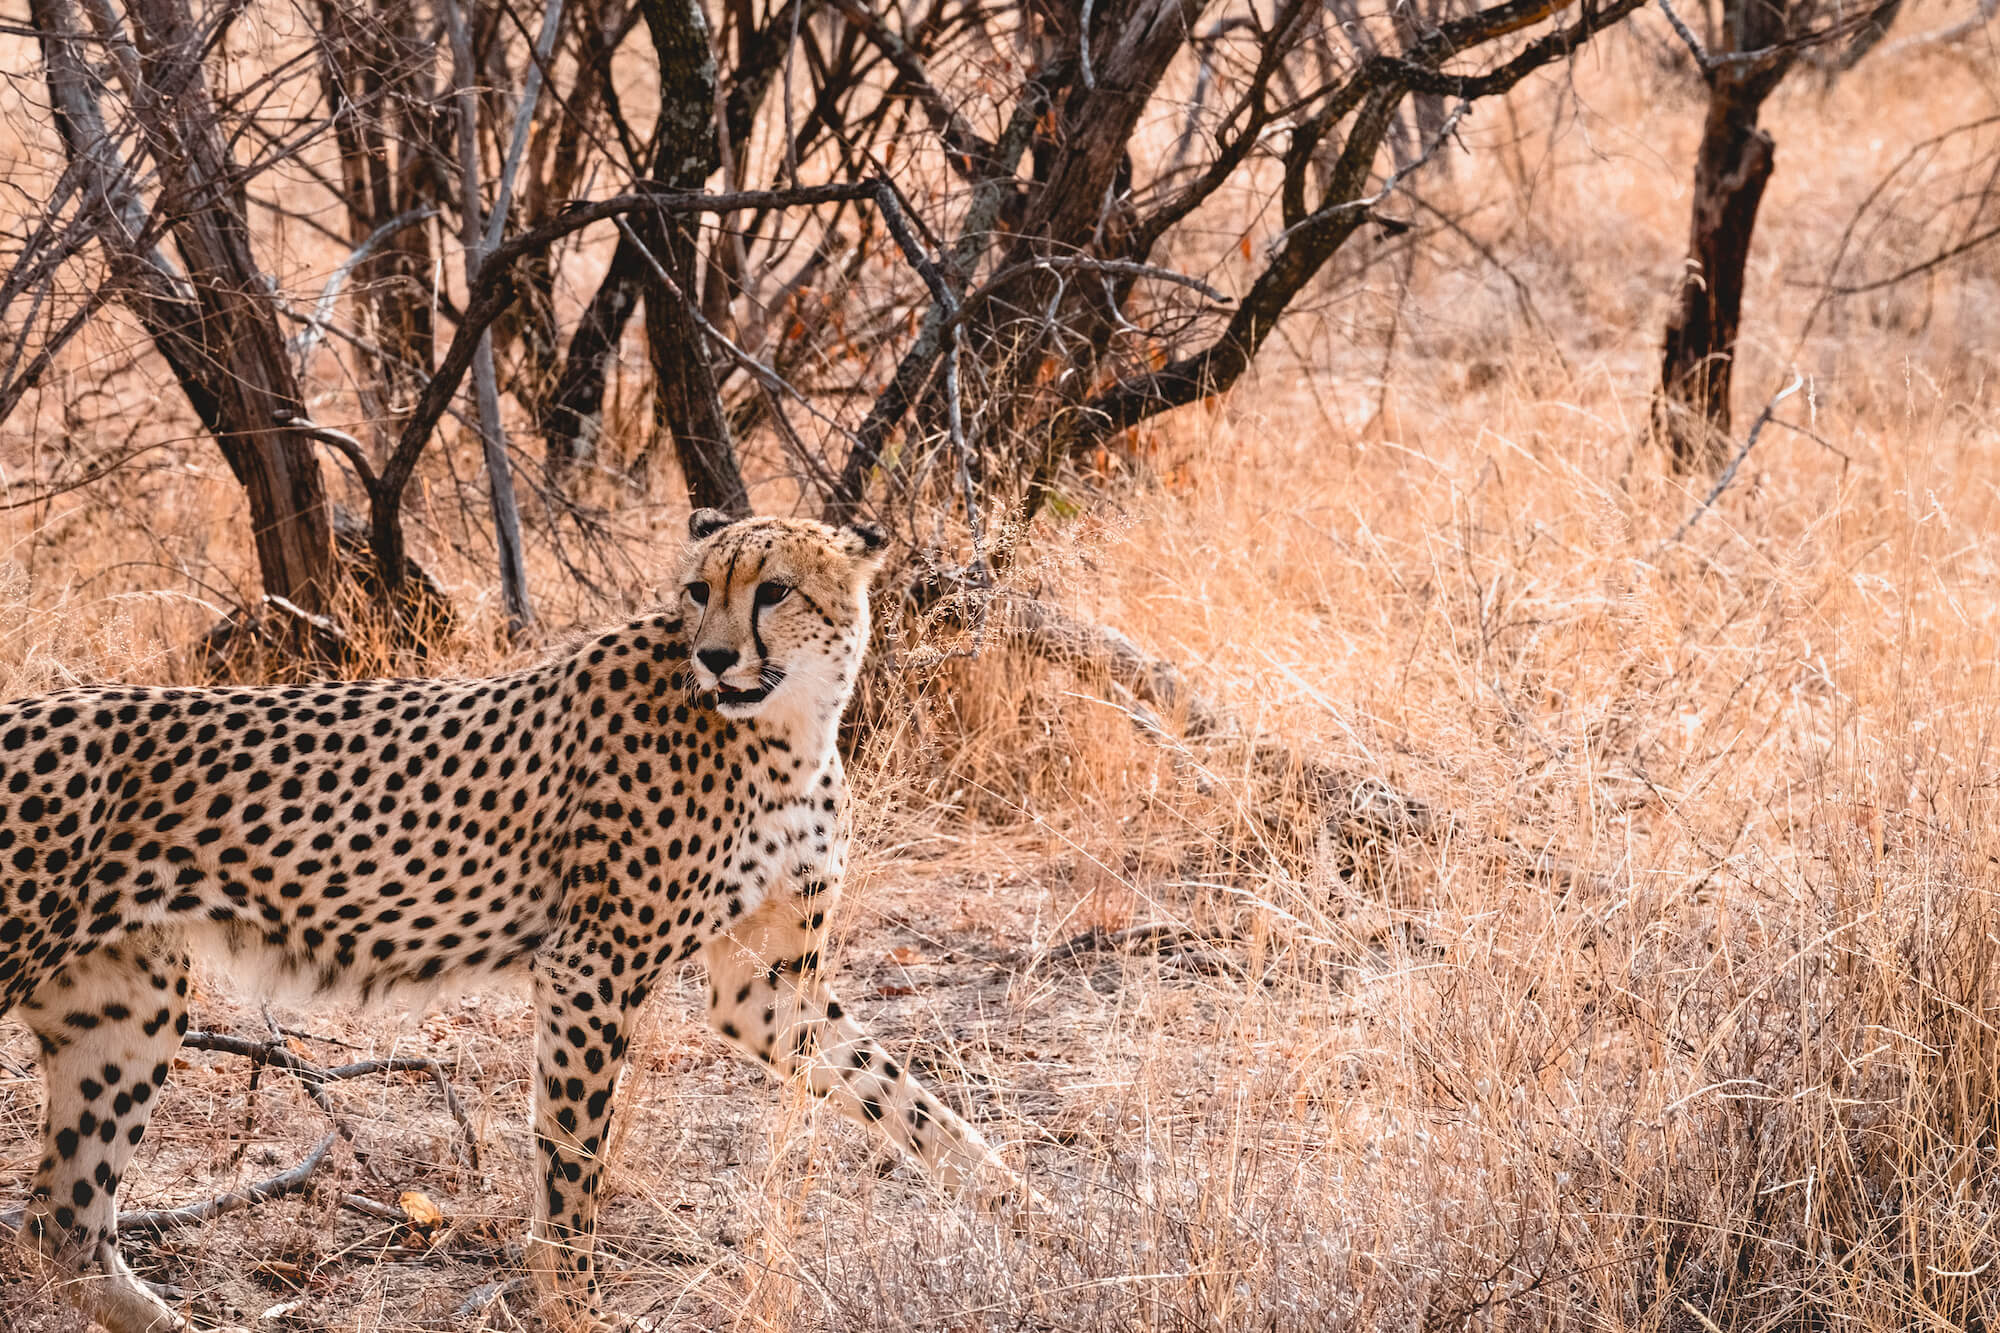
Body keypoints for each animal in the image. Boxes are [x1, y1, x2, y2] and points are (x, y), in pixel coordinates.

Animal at [0, 510, 1024, 1328]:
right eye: (699, 590)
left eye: (774, 589)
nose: (715, 654)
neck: (788, 727)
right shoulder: (591, 968)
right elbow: (572, 1167)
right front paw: (578, 1306)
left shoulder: (767, 987)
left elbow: (904, 1095)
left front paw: (1024, 1209)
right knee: (60, 1217)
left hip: (129, 1000)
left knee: (62, 1222)